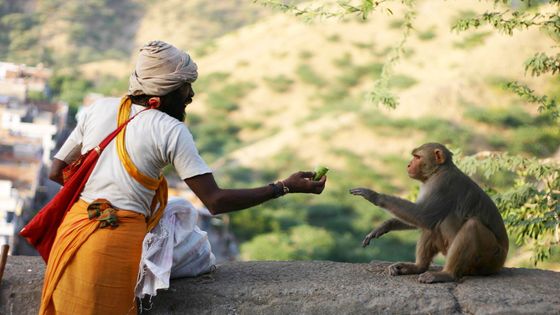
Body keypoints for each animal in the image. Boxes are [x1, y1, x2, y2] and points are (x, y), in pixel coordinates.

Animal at [352, 143, 510, 284]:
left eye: (417, 157)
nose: (408, 165)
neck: (438, 171)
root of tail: (502, 260)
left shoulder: (442, 184)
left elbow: (424, 216)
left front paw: (375, 196)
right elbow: (421, 219)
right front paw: (384, 226)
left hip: (490, 258)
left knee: (471, 226)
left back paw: (447, 274)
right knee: (432, 227)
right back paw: (417, 267)